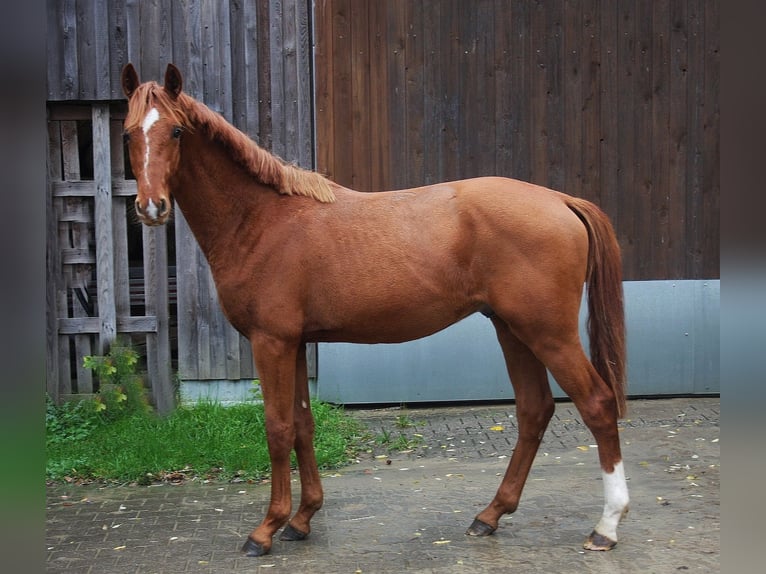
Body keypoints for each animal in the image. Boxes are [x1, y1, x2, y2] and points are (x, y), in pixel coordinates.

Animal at [121, 63, 629, 557]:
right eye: (128, 134)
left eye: (176, 131)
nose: (151, 207)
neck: (263, 220)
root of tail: (560, 200)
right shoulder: (297, 344)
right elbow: (303, 424)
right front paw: (302, 520)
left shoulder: (272, 343)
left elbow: (278, 427)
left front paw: (266, 529)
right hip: (512, 329)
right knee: (533, 410)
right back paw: (490, 515)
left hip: (549, 333)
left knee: (597, 404)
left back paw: (606, 526)